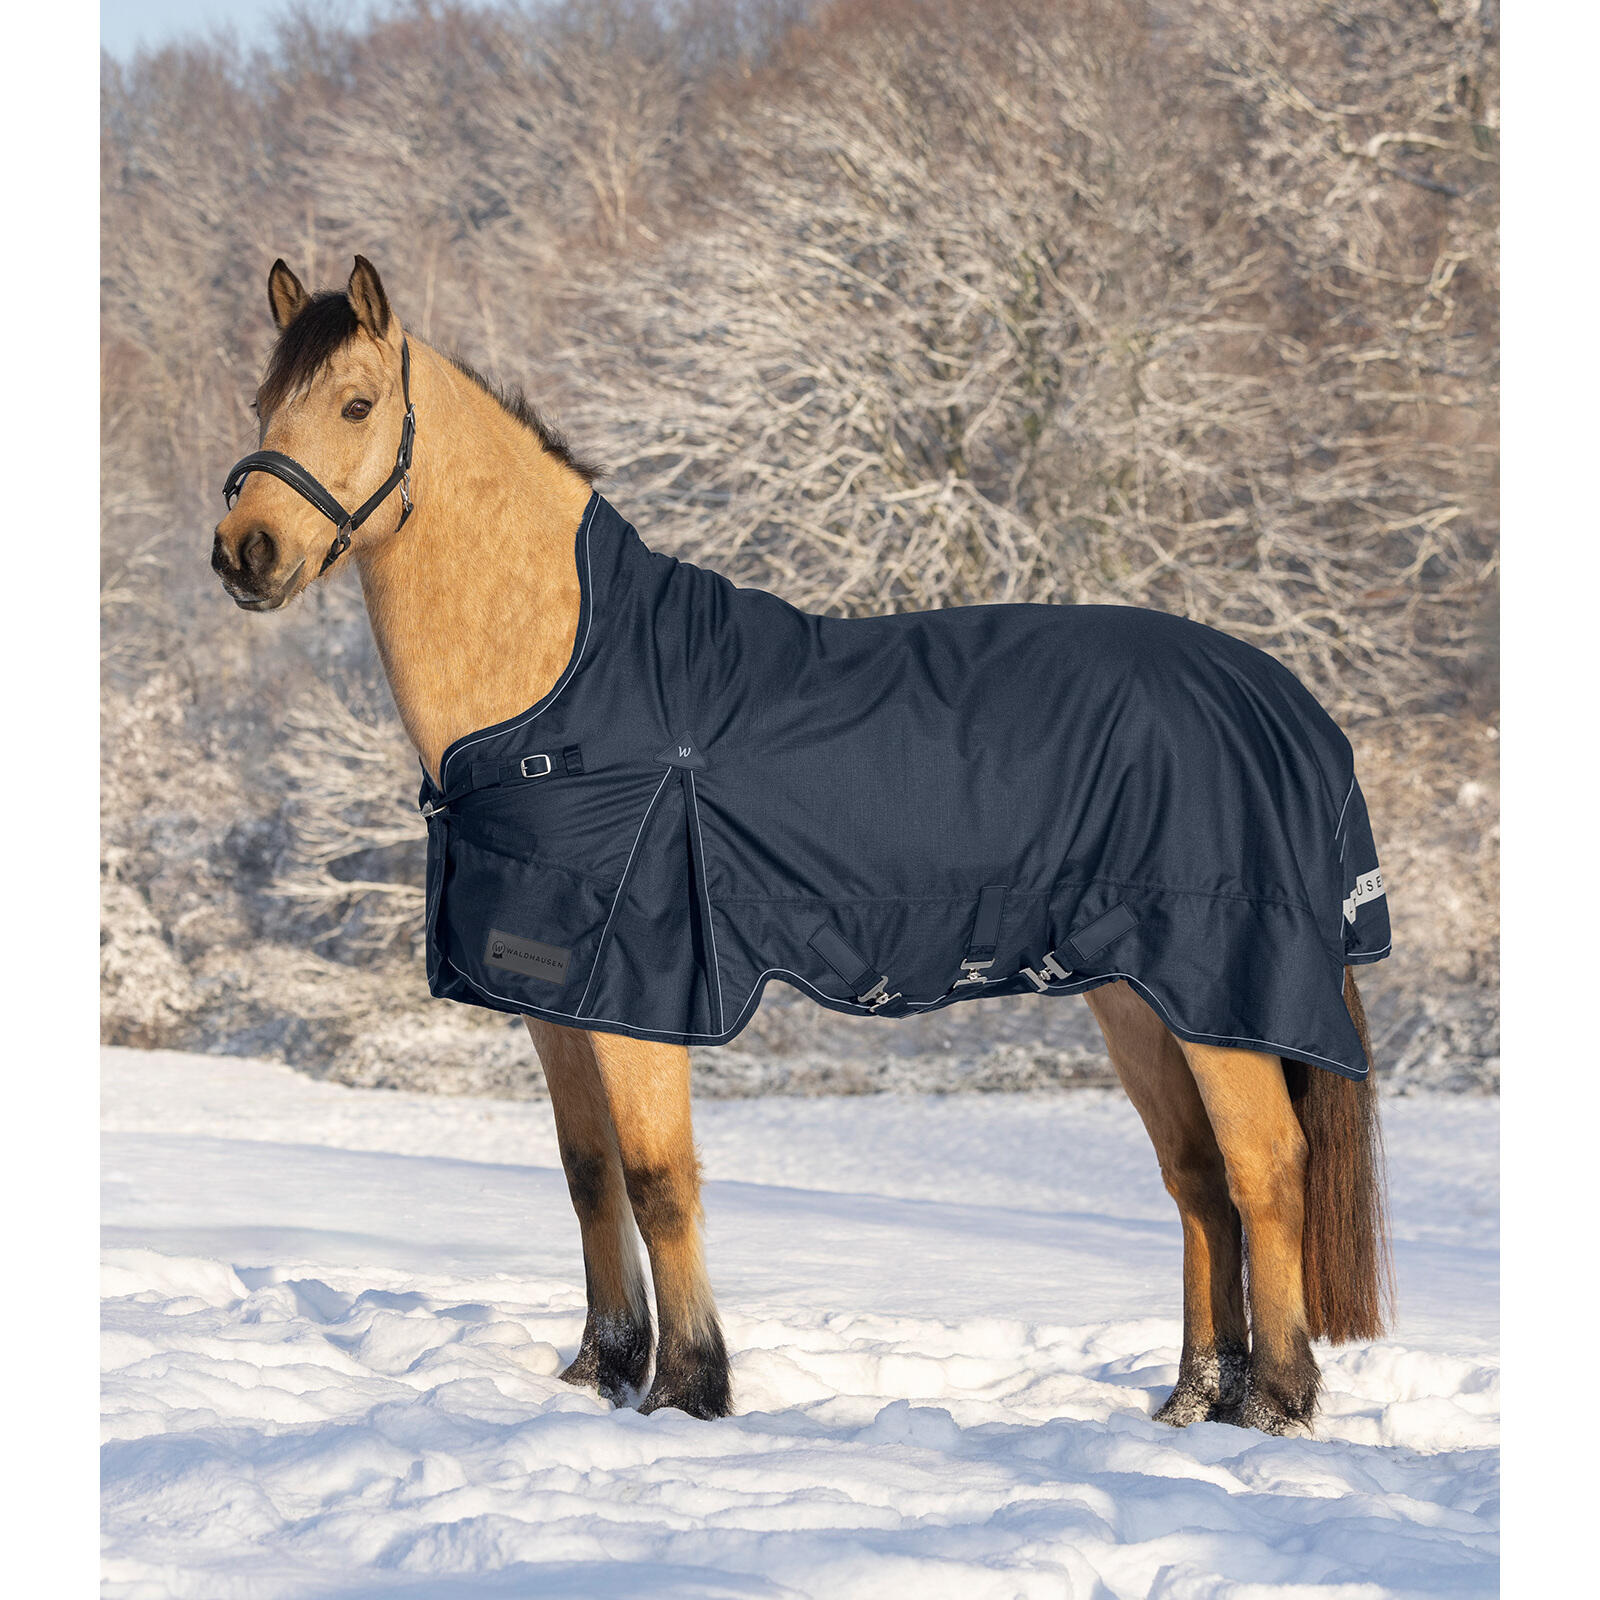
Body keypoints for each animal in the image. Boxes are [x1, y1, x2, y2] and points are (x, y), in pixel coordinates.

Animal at [212, 256, 1390, 1434]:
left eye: (357, 403)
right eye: (263, 403)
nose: (245, 554)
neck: (569, 691)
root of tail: (1284, 701)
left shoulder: (642, 991)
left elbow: (658, 1178)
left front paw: (687, 1389)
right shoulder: (559, 1000)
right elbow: (589, 1176)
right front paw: (600, 1372)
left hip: (1219, 995)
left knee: (1265, 1169)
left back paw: (1275, 1404)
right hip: (1140, 996)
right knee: (1197, 1178)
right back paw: (1195, 1400)